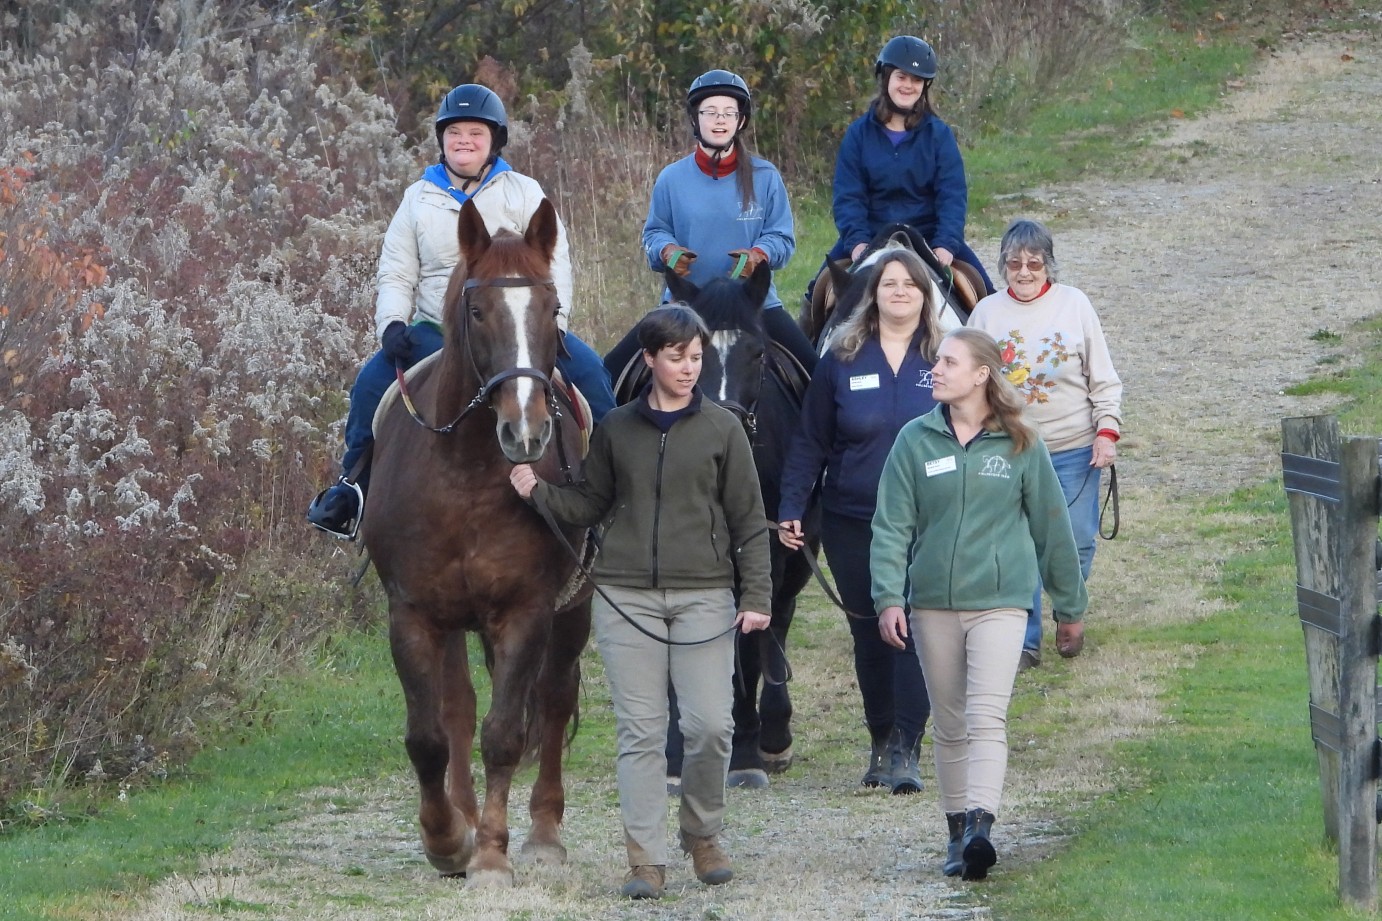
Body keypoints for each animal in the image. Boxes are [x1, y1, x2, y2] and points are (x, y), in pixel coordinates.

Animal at [364, 199, 591, 885]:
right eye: (477, 310)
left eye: (551, 307)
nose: (526, 432)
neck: (463, 473)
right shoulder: (413, 613)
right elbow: (430, 735)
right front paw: (446, 840)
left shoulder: (526, 611)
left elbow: (506, 732)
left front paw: (491, 852)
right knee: (459, 709)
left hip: (574, 609)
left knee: (553, 700)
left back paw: (543, 833)